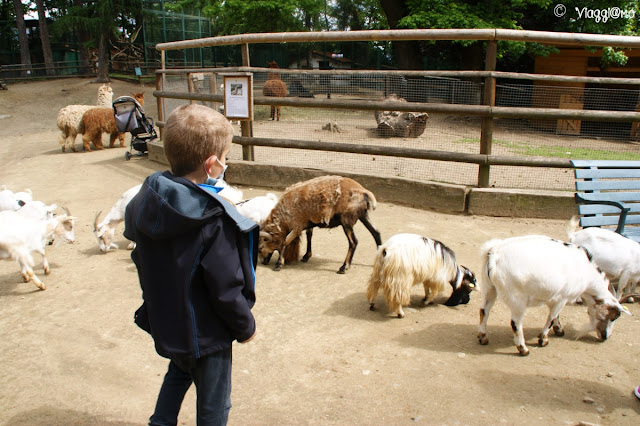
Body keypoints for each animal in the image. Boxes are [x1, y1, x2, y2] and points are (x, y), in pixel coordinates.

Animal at [476, 236, 632, 356]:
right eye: (613, 316)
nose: (605, 337)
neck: (587, 273)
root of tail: (494, 252)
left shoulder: (556, 297)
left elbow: (556, 315)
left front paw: (559, 330)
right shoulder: (562, 297)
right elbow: (551, 317)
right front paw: (543, 339)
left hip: (489, 288)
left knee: (484, 310)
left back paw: (483, 337)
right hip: (517, 298)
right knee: (515, 323)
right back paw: (523, 349)